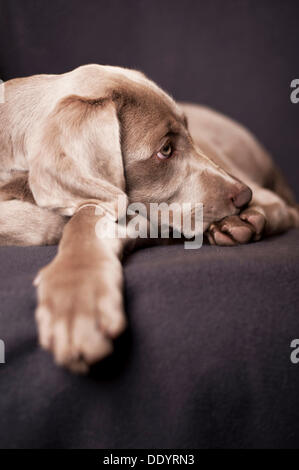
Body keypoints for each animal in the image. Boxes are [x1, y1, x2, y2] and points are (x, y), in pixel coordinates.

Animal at [0, 65, 298, 370]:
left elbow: (85, 219)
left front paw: (77, 299)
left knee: (281, 207)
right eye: (165, 150)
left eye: (187, 134)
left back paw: (241, 224)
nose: (244, 196)